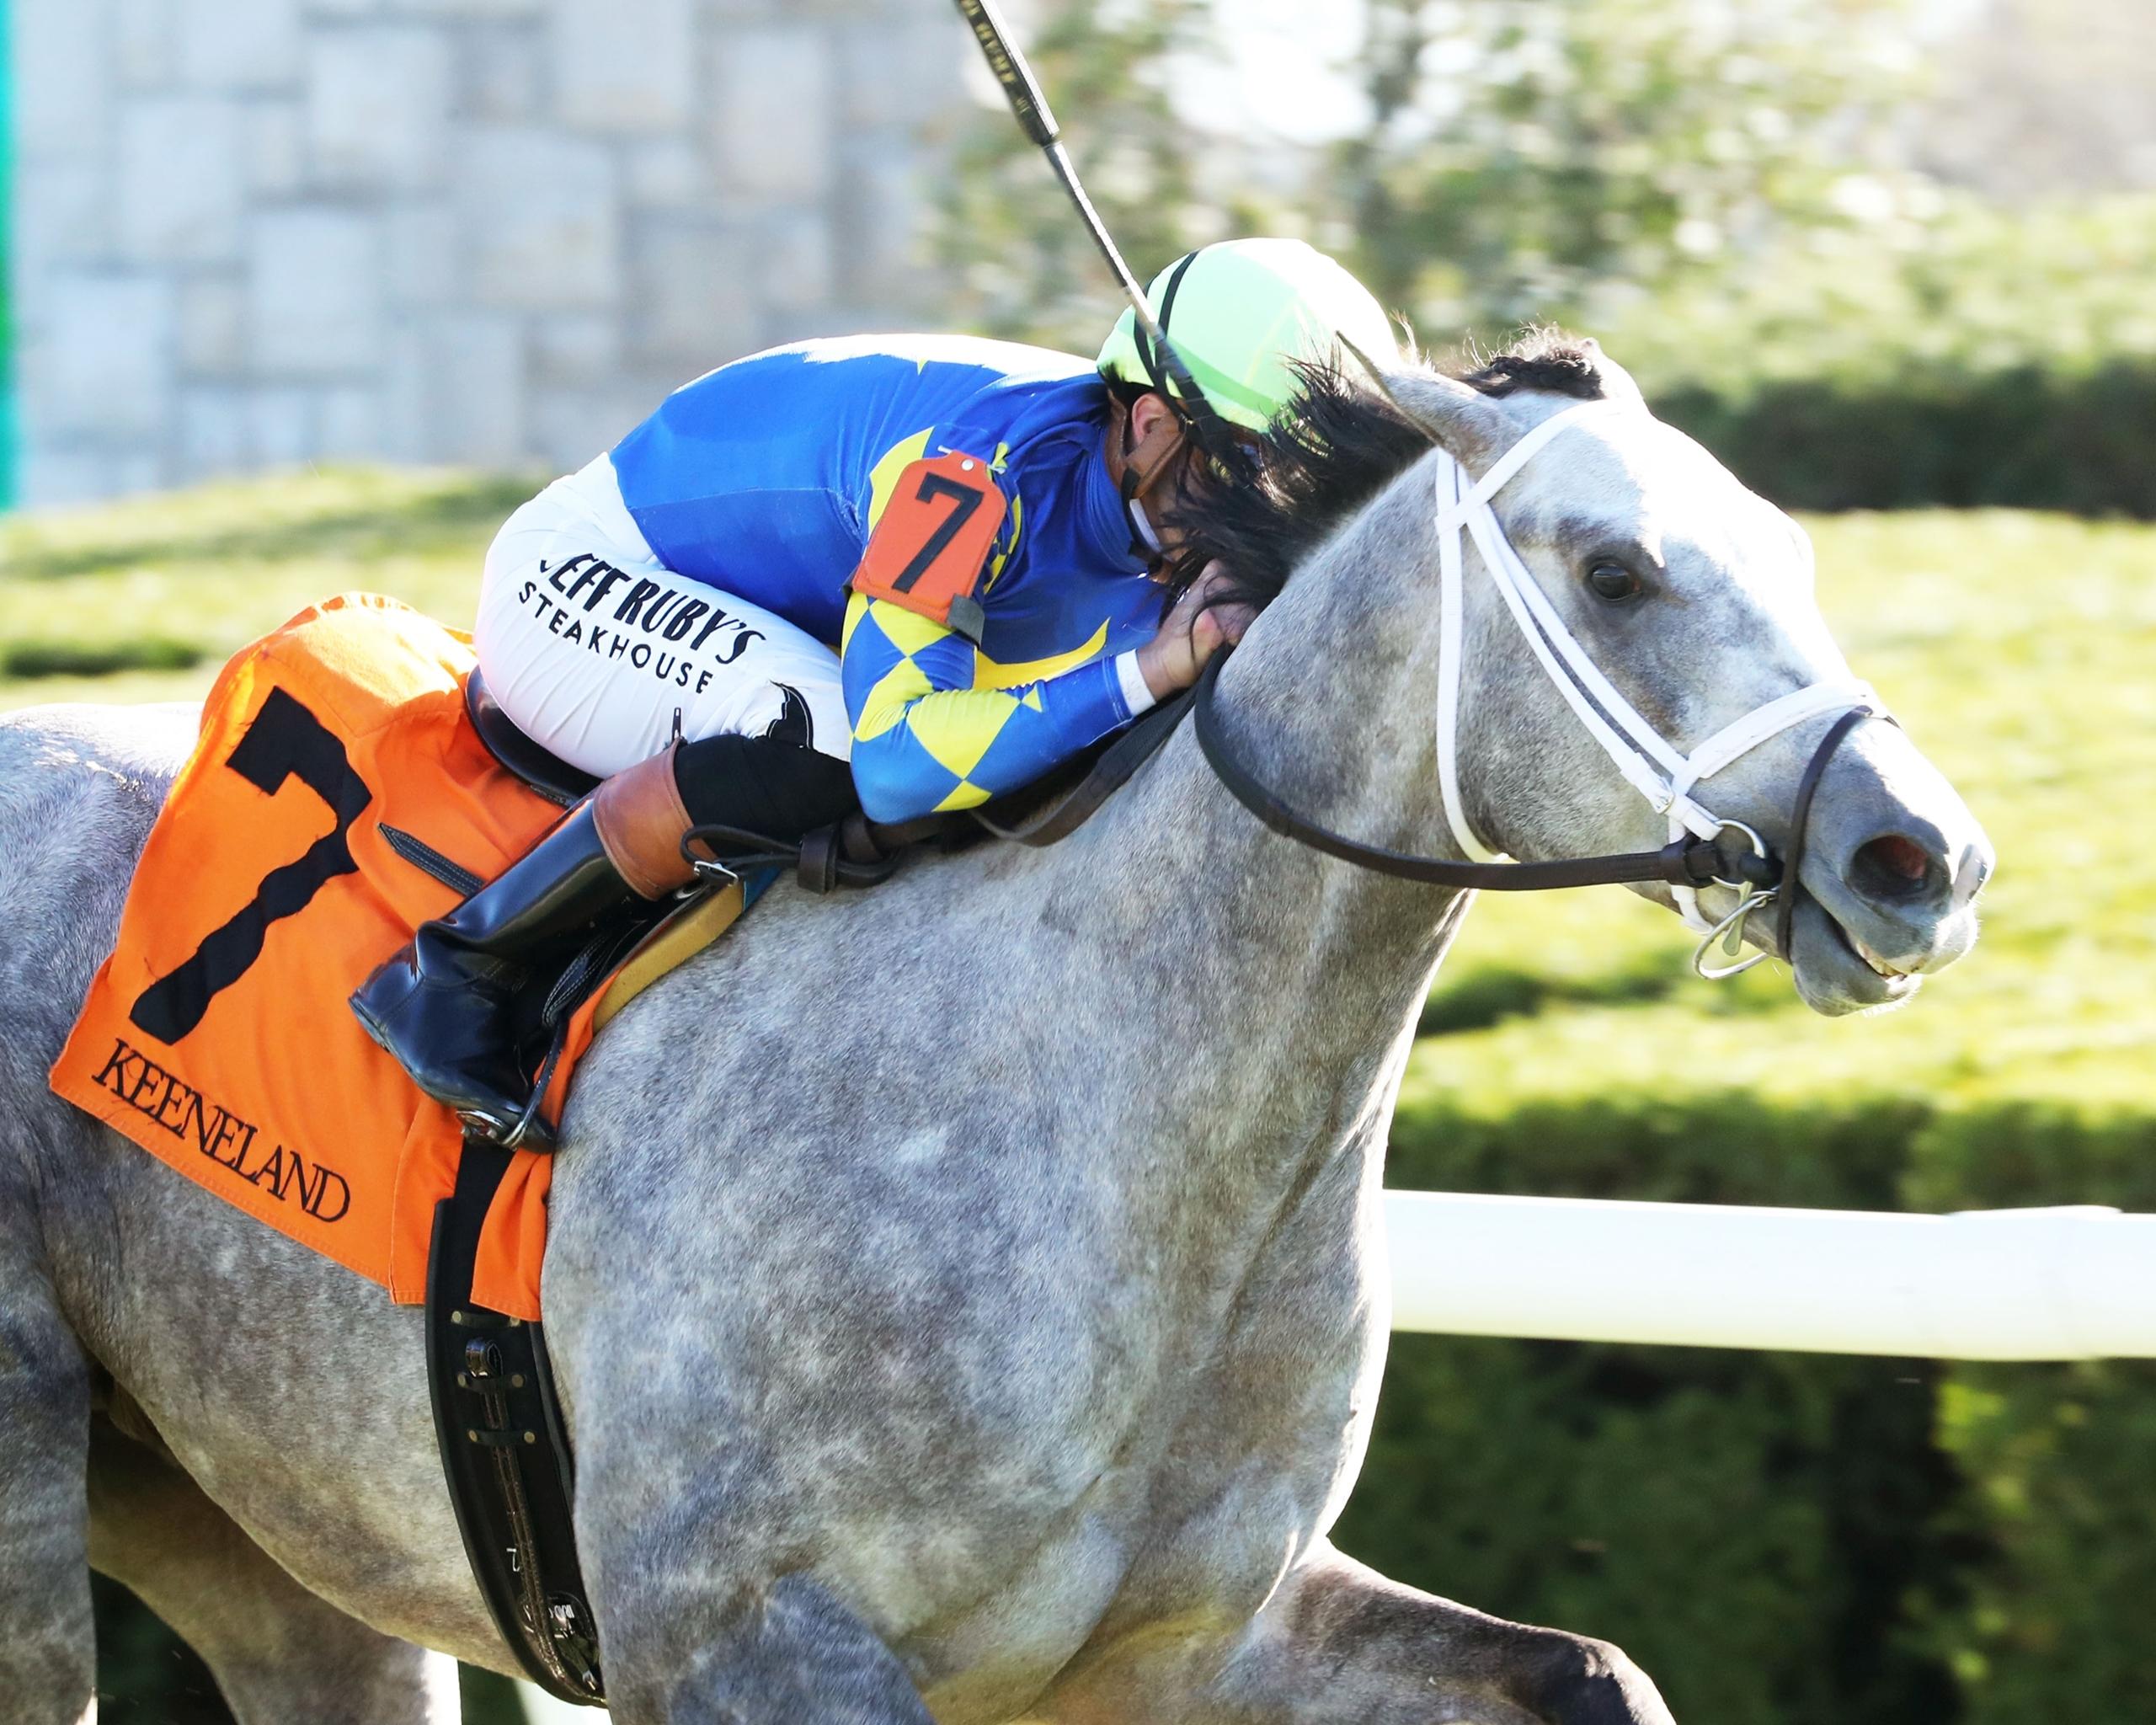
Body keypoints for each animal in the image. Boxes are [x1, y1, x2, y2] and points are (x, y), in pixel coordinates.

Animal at [0, 342, 1991, 1725]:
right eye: (1615, 570)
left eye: (1788, 549)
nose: (1922, 854)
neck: (1104, 1115)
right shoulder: (747, 1639)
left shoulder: (1194, 1637)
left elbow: (1590, 1669)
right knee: (772, 732)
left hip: (264, 1521)